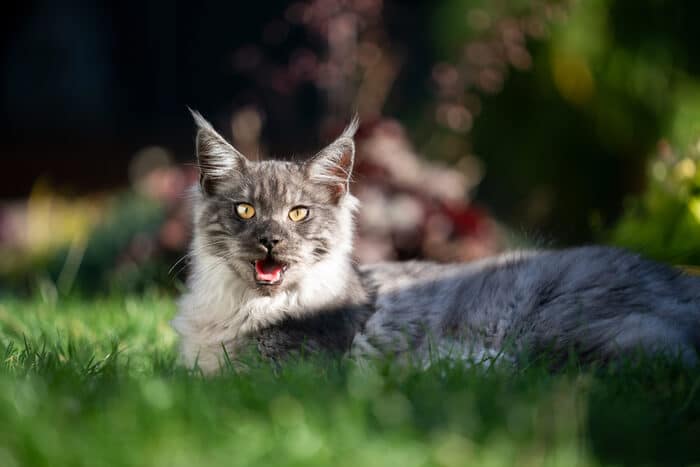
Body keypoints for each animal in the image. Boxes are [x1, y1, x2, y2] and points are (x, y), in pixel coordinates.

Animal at [171, 111, 700, 374]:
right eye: (245, 210)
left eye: (298, 213)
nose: (270, 241)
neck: (242, 309)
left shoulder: (287, 370)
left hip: (563, 332)